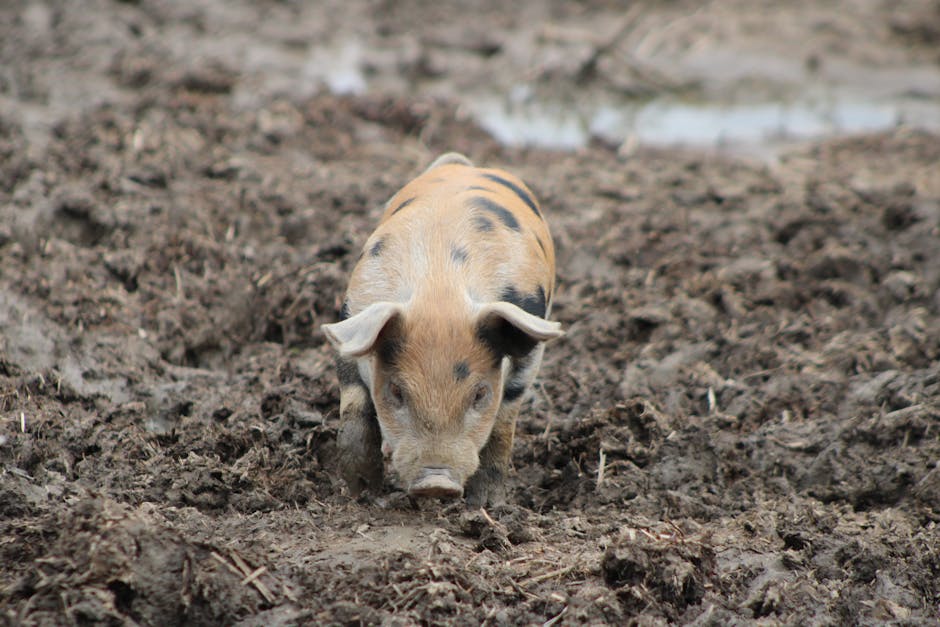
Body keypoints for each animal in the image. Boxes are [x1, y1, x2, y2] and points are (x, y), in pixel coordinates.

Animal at [321, 152, 562, 506]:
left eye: (480, 394)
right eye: (397, 391)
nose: (436, 483)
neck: (440, 290)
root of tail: (466, 166)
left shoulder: (530, 352)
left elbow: (503, 424)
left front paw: (485, 505)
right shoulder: (353, 324)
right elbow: (354, 411)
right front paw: (360, 493)